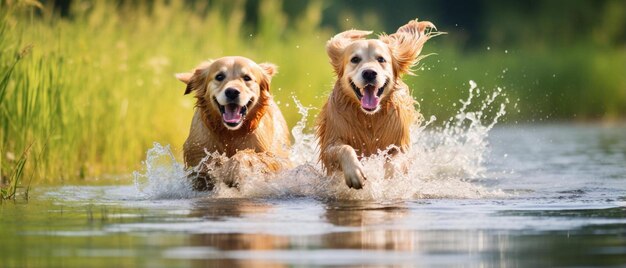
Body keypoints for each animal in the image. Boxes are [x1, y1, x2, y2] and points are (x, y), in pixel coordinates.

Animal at [176, 56, 290, 191]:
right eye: (219, 76)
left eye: (247, 78)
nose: (232, 92)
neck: (231, 133)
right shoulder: (196, 154)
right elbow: (207, 163)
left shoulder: (278, 159)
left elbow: (249, 156)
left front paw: (233, 168)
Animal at [314, 19, 436, 188]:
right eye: (355, 59)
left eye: (381, 59)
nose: (369, 73)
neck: (369, 118)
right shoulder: (330, 143)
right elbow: (344, 148)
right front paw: (355, 172)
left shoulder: (400, 144)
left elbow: (395, 161)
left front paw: (390, 178)